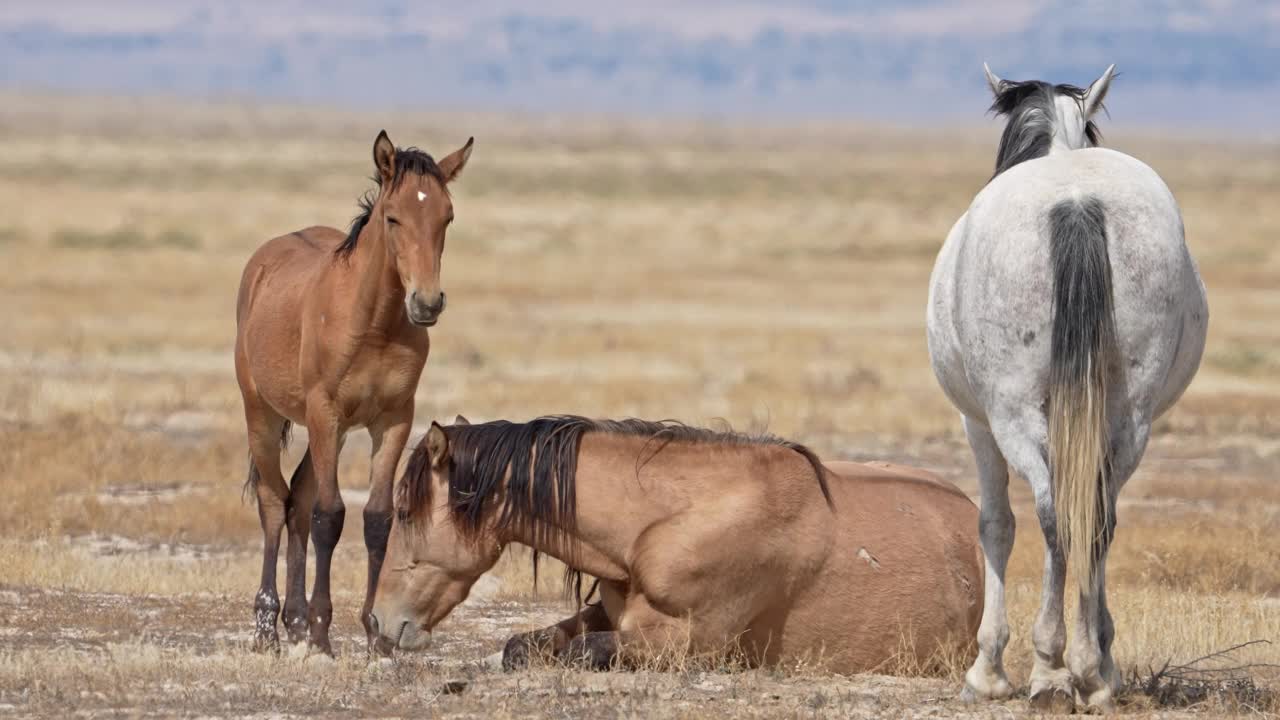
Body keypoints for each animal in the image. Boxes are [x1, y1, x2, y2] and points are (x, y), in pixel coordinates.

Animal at [234, 131, 471, 653]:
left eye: (446, 216)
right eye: (393, 217)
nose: (427, 303)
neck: (374, 324)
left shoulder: (394, 420)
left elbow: (377, 519)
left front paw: (374, 635)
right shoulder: (326, 414)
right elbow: (330, 515)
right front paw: (323, 634)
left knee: (296, 501)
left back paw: (295, 621)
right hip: (263, 415)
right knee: (273, 503)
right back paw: (267, 627)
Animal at [371, 415, 977, 671]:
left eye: (403, 511)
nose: (378, 623)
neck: (667, 520)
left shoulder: (687, 641)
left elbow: (581, 653)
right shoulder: (610, 611)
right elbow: (523, 645)